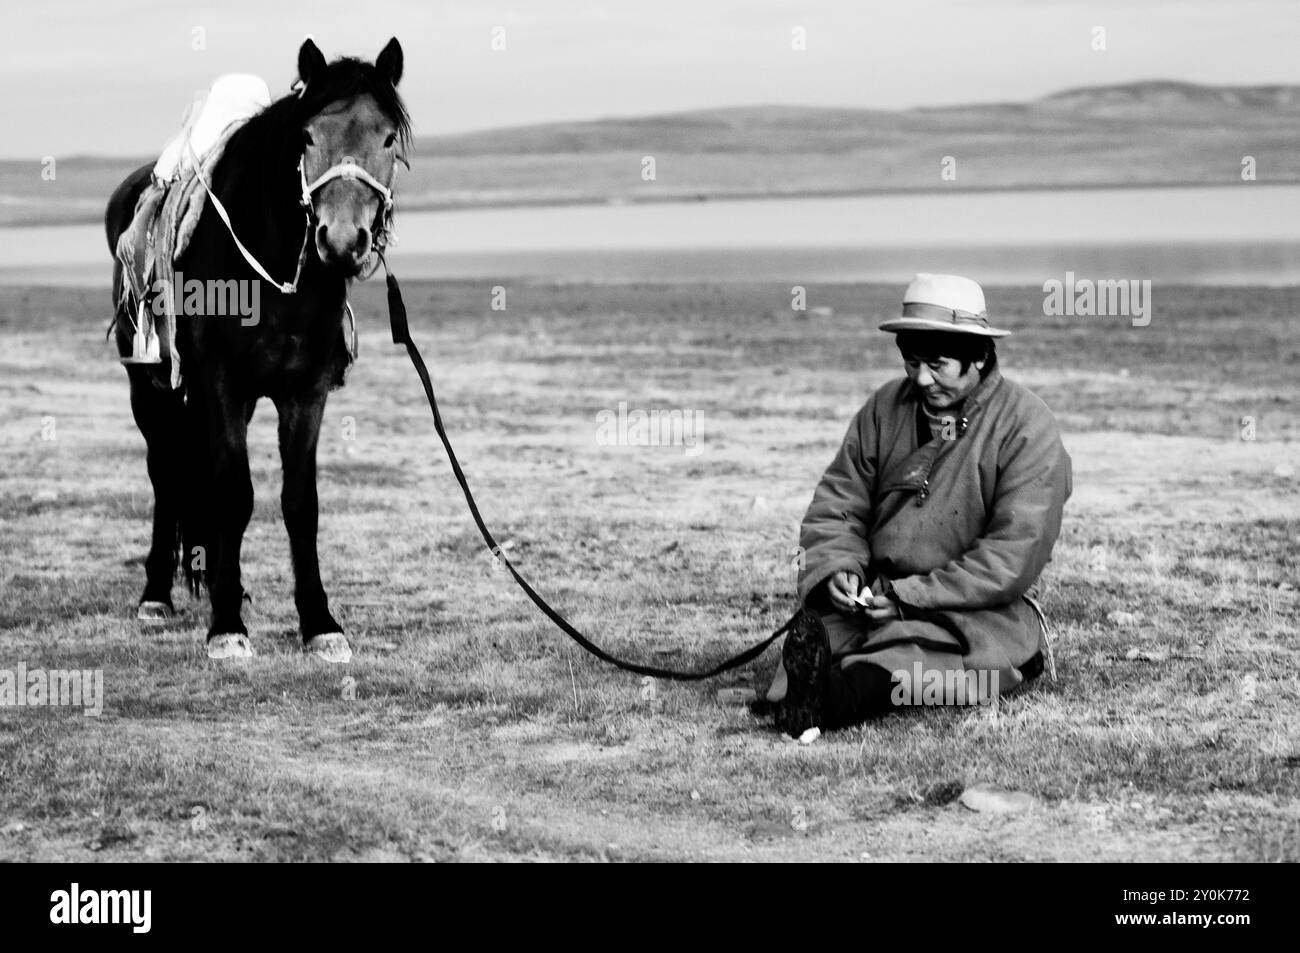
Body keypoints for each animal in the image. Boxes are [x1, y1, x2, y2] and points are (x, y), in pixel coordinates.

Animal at [105, 39, 410, 660]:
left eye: (388, 137)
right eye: (308, 136)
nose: (342, 241)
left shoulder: (305, 392)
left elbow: (299, 502)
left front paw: (320, 623)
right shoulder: (222, 382)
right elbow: (234, 493)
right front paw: (225, 626)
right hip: (148, 388)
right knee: (165, 473)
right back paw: (156, 596)